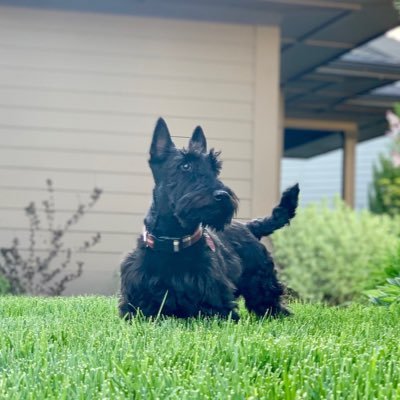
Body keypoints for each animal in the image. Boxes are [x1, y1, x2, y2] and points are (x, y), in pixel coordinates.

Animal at [117, 117, 298, 320]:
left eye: (215, 168)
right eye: (185, 165)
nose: (223, 196)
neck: (175, 239)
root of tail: (249, 226)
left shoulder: (217, 305)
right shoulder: (136, 306)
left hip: (262, 282)